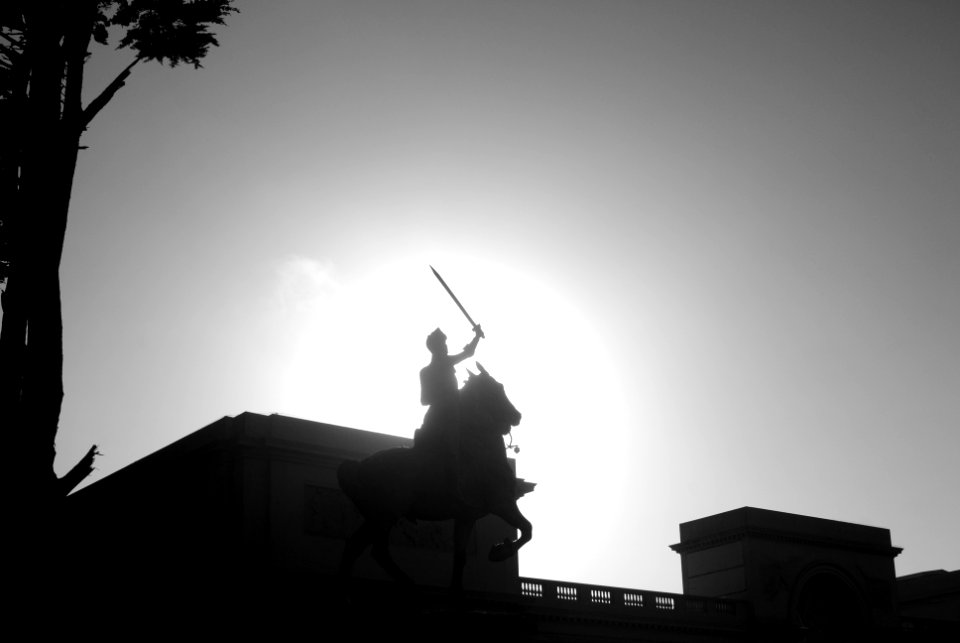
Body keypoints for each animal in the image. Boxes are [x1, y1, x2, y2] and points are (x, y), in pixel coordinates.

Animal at [338, 364, 532, 592]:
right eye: (497, 388)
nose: (517, 415)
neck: (480, 454)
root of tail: (357, 466)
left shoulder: (466, 517)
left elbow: (460, 556)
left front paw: (456, 588)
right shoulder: (502, 504)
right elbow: (528, 529)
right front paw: (499, 551)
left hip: (375, 517)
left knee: (355, 546)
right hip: (387, 515)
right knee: (377, 550)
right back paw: (409, 583)